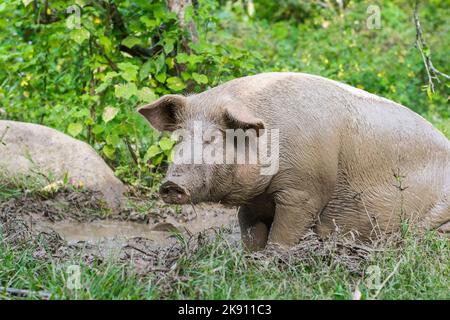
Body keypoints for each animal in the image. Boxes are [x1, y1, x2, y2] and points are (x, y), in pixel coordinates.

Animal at [138, 72, 450, 250]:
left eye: (213, 138)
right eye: (178, 138)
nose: (171, 185)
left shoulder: (304, 191)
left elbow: (283, 234)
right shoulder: (253, 201)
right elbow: (250, 234)